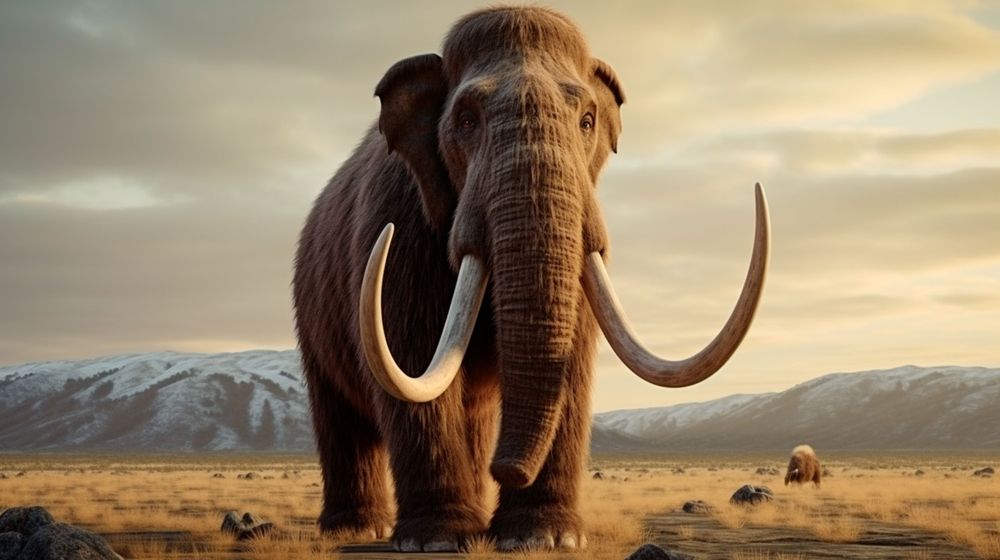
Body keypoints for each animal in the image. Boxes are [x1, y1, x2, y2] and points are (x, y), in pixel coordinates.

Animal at [292, 6, 769, 552]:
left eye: (587, 121)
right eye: (466, 120)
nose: (507, 468)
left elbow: (574, 364)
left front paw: (544, 538)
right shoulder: (396, 226)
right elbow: (412, 354)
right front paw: (439, 540)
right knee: (342, 420)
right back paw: (357, 528)